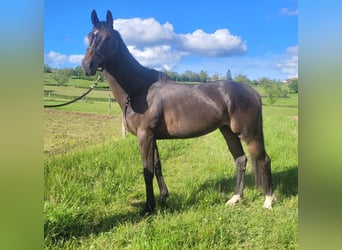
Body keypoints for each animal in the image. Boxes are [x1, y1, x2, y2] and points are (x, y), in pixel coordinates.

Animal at [81, 9, 276, 215]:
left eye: (107, 37)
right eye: (89, 36)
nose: (87, 65)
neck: (140, 91)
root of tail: (253, 92)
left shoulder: (145, 135)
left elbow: (147, 171)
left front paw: (148, 207)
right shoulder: (152, 137)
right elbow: (157, 165)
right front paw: (163, 196)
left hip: (249, 133)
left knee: (264, 160)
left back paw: (268, 200)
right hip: (228, 132)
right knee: (240, 160)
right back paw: (235, 198)